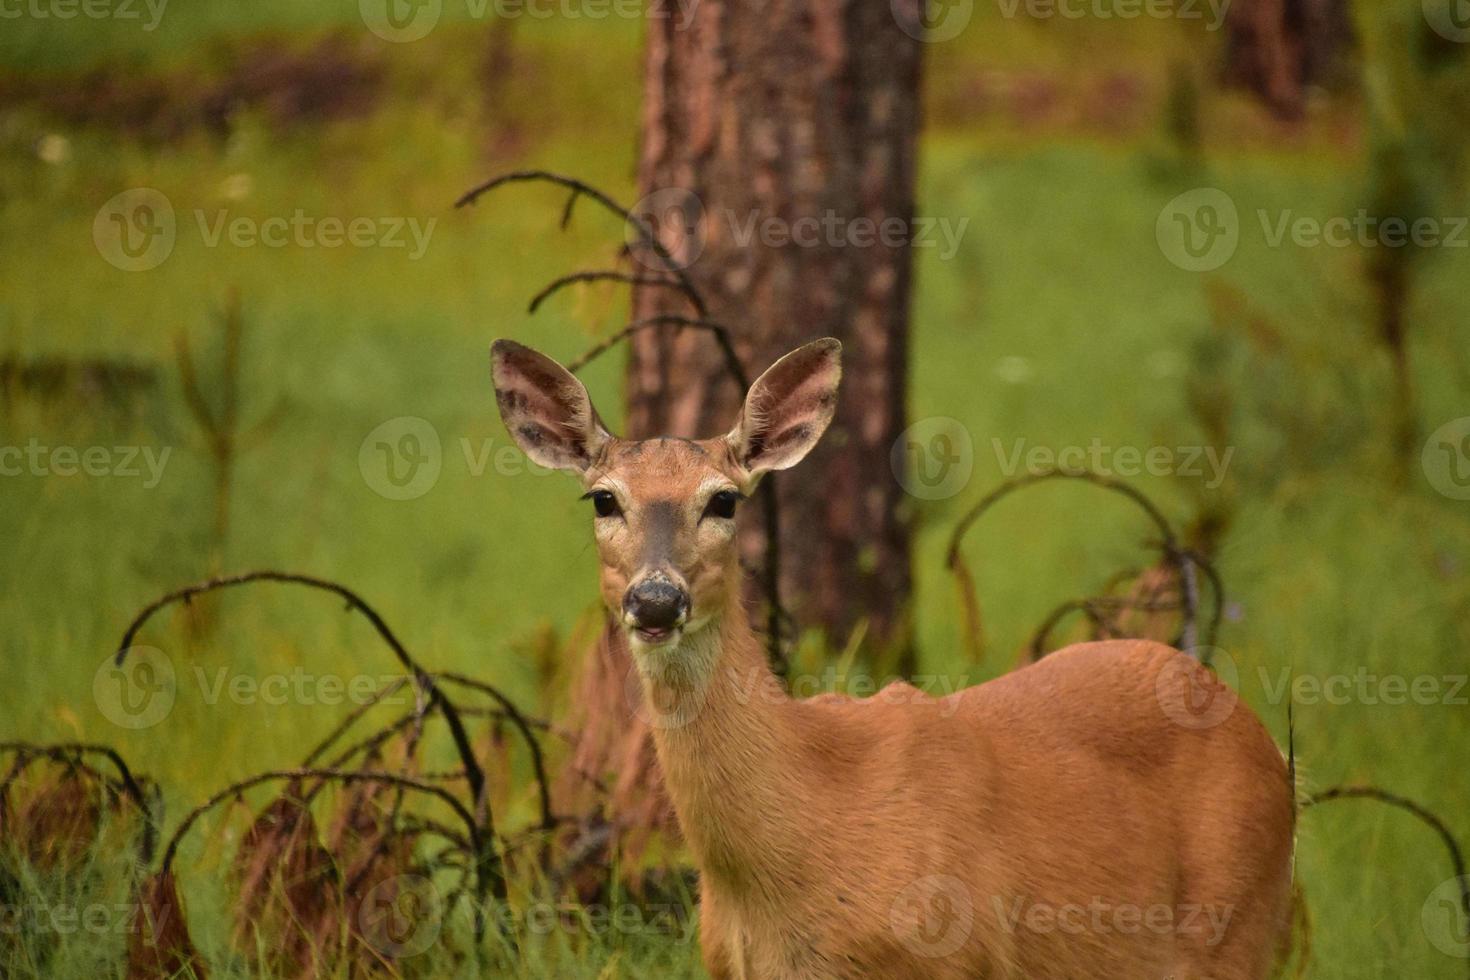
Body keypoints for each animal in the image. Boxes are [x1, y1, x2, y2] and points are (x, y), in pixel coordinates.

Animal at [488, 337, 1293, 980]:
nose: (656, 600)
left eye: (724, 500)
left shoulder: (959, 960)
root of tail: (1254, 729)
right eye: (602, 499)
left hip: (1239, 927)